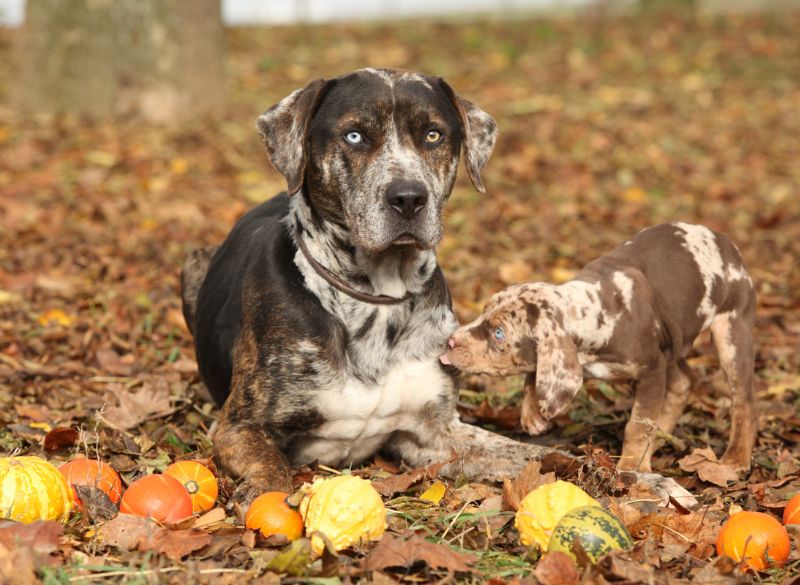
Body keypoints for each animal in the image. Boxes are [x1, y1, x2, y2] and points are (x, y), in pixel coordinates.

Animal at [181, 68, 692, 504]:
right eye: (354, 135)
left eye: (433, 134)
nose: (408, 197)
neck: (377, 297)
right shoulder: (238, 427)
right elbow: (270, 469)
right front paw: (265, 499)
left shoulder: (434, 433)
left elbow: (545, 455)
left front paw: (638, 479)